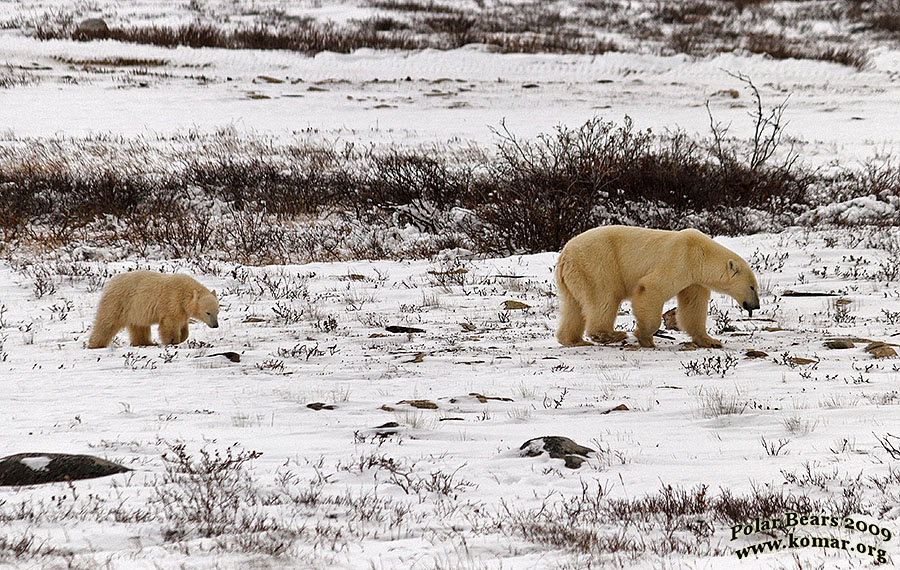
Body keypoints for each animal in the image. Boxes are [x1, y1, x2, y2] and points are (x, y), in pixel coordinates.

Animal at [556, 225, 760, 346]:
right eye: (752, 287)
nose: (756, 306)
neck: (700, 253)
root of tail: (565, 255)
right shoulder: (679, 259)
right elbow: (651, 288)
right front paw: (645, 337)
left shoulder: (694, 280)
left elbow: (693, 307)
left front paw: (711, 341)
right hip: (598, 265)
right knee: (604, 298)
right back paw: (612, 334)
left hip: (575, 276)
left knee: (573, 306)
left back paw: (574, 340)